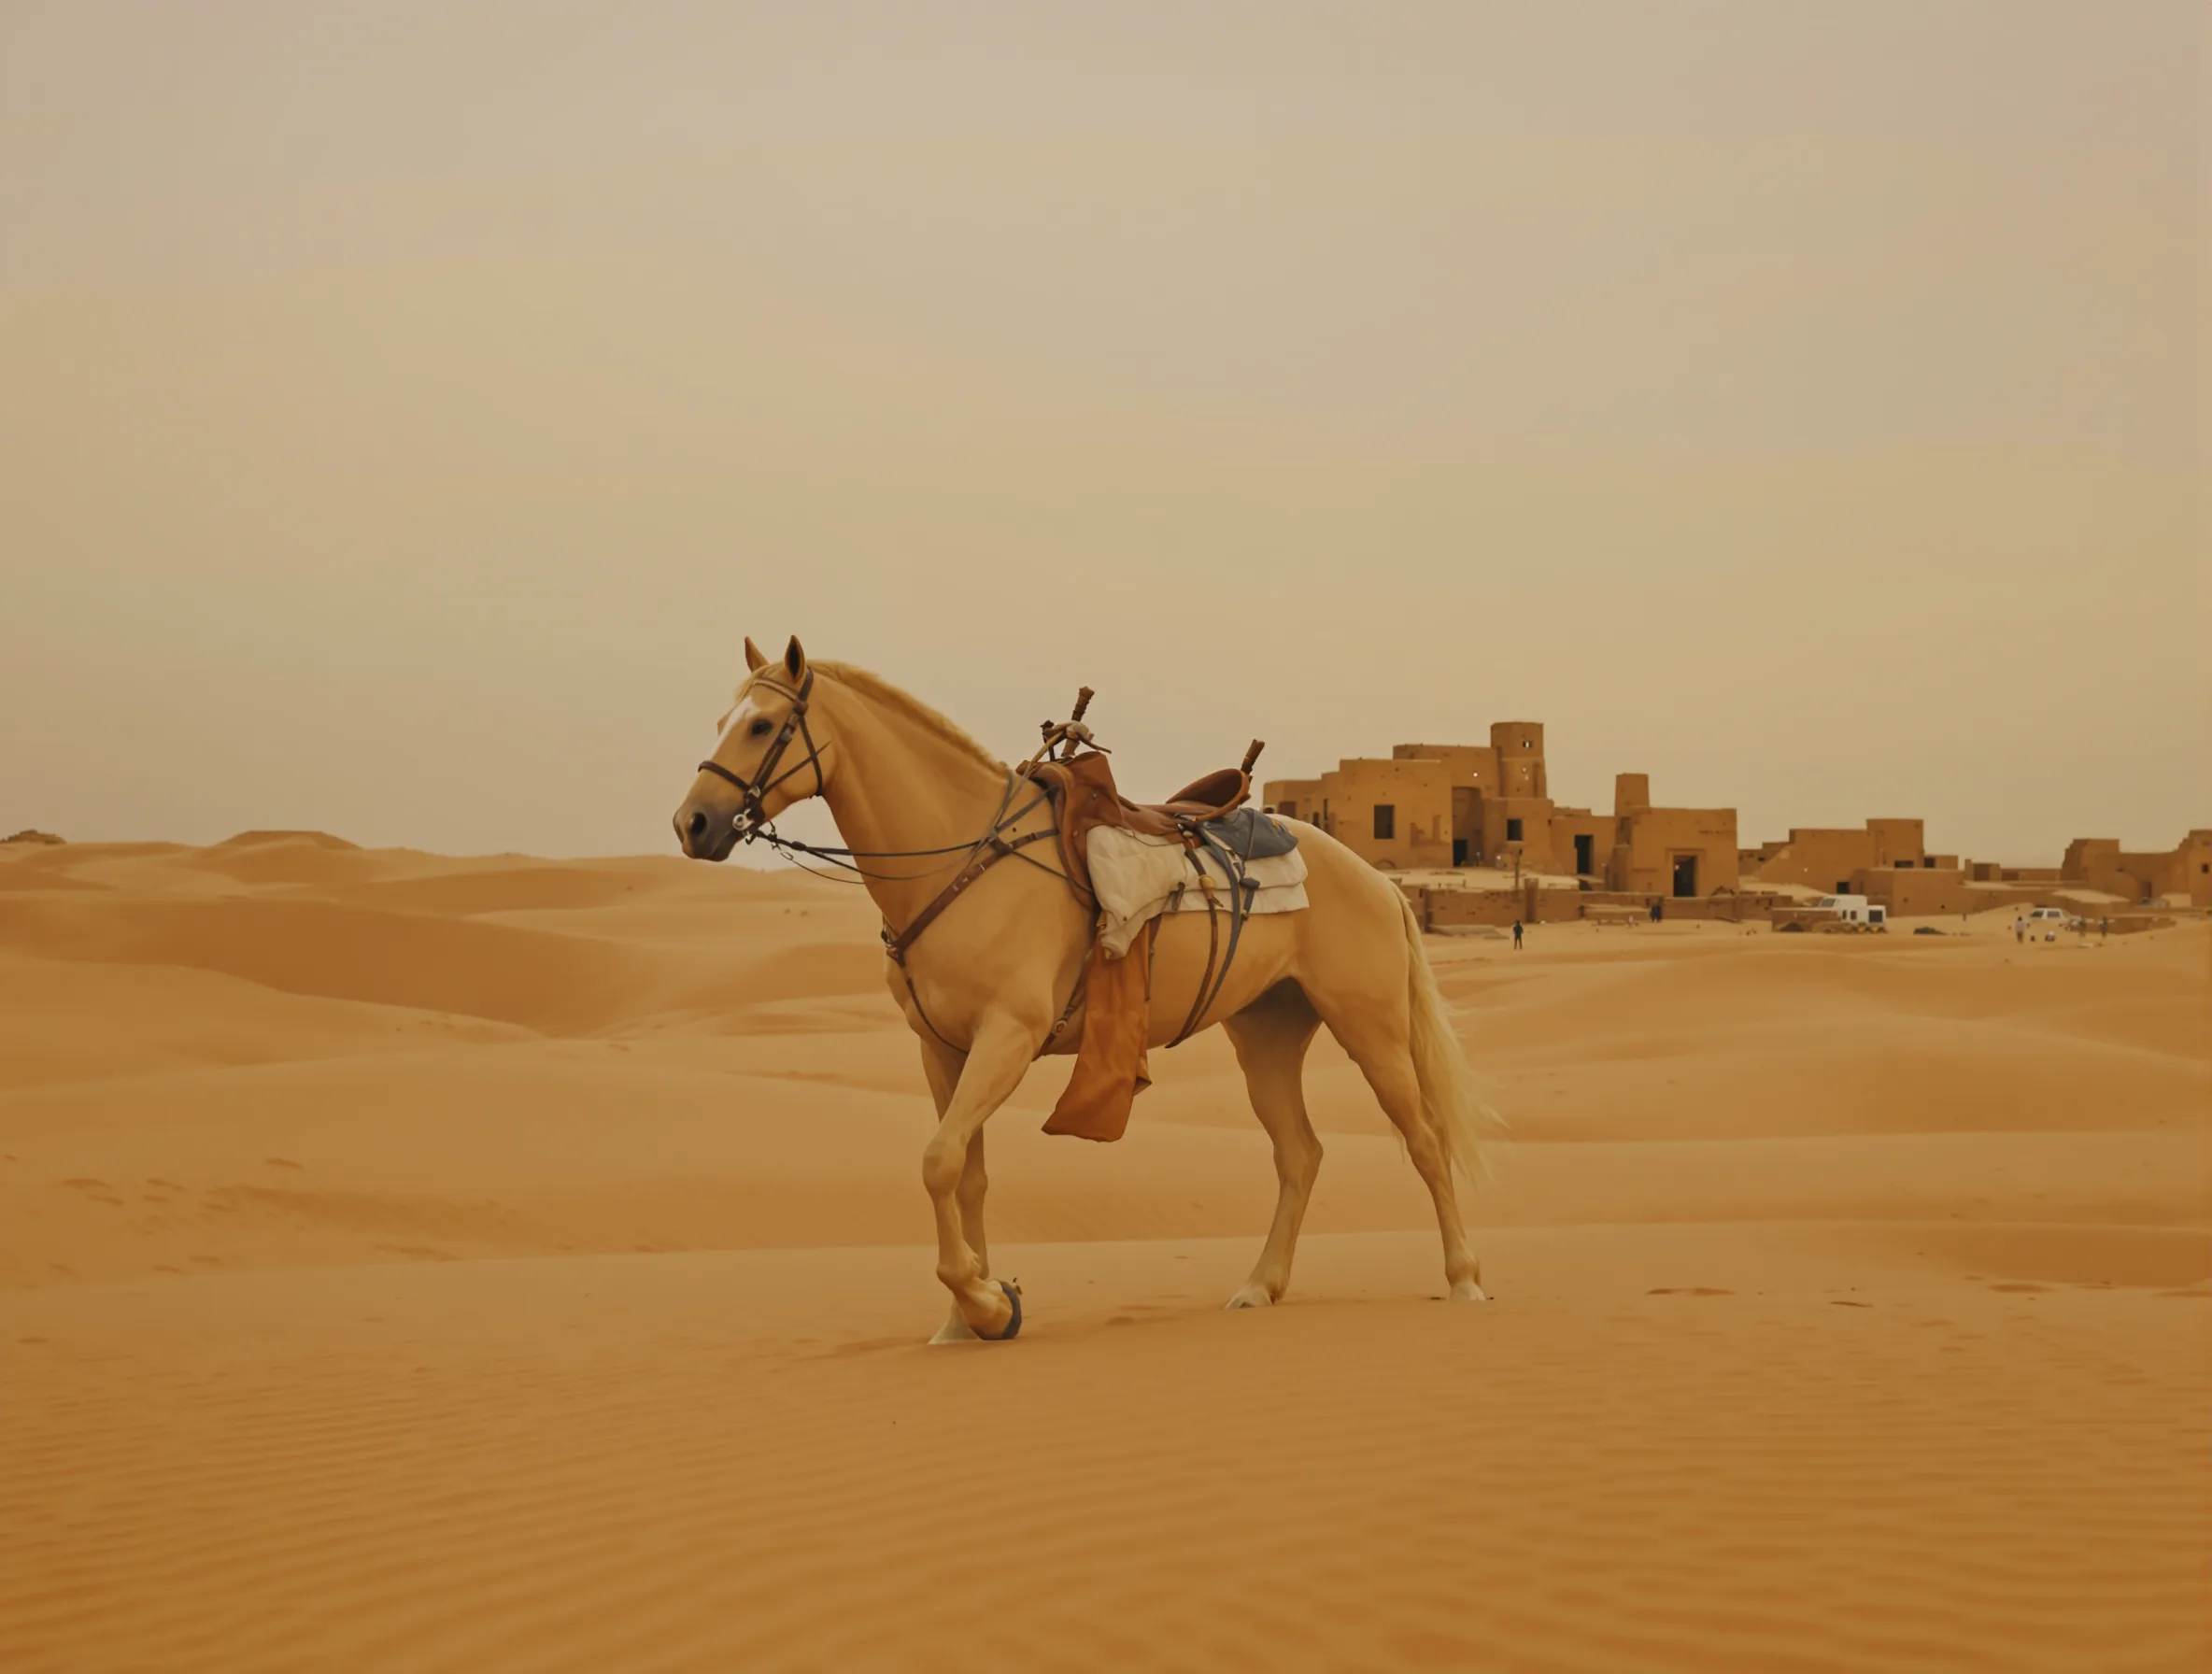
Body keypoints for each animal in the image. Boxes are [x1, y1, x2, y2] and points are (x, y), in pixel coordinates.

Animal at [672, 636, 1496, 1342]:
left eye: (762, 725)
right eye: (722, 723)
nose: (693, 823)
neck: (961, 859)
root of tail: (1377, 882)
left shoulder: (1008, 1036)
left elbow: (939, 1162)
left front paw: (985, 1301)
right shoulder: (943, 1051)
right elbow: (963, 1173)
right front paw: (964, 1316)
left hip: (1372, 1027)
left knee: (1424, 1140)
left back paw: (1463, 1278)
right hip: (1267, 1034)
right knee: (1300, 1155)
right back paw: (1259, 1285)